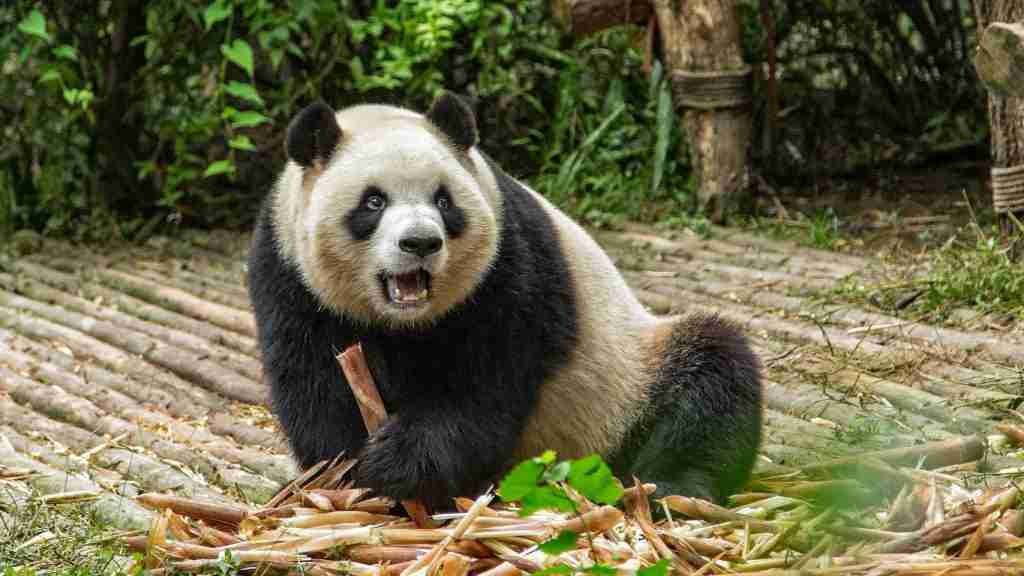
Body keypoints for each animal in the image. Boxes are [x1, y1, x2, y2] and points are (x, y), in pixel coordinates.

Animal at [245, 91, 761, 508]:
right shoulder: (287, 275)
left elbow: (486, 386)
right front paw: (347, 474)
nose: (420, 242)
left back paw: (676, 489)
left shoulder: (509, 268)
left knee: (712, 379)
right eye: (373, 202)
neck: (405, 321)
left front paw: (397, 463)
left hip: (628, 384)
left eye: (444, 201)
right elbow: (313, 379)